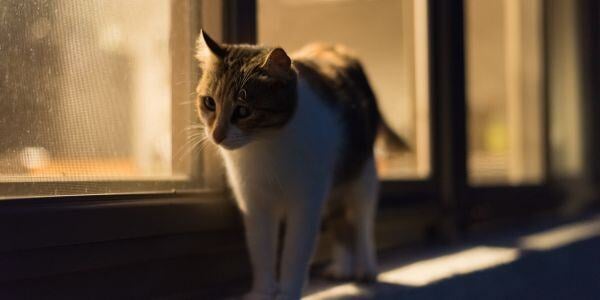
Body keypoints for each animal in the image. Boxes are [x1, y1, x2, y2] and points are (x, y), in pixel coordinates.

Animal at [195, 29, 406, 300]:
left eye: (243, 111)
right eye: (209, 103)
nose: (217, 135)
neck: (265, 146)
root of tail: (336, 47)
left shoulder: (305, 202)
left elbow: (294, 253)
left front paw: (287, 292)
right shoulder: (255, 203)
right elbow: (261, 252)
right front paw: (262, 292)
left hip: (360, 171)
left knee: (362, 222)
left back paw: (366, 269)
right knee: (340, 222)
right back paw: (342, 268)